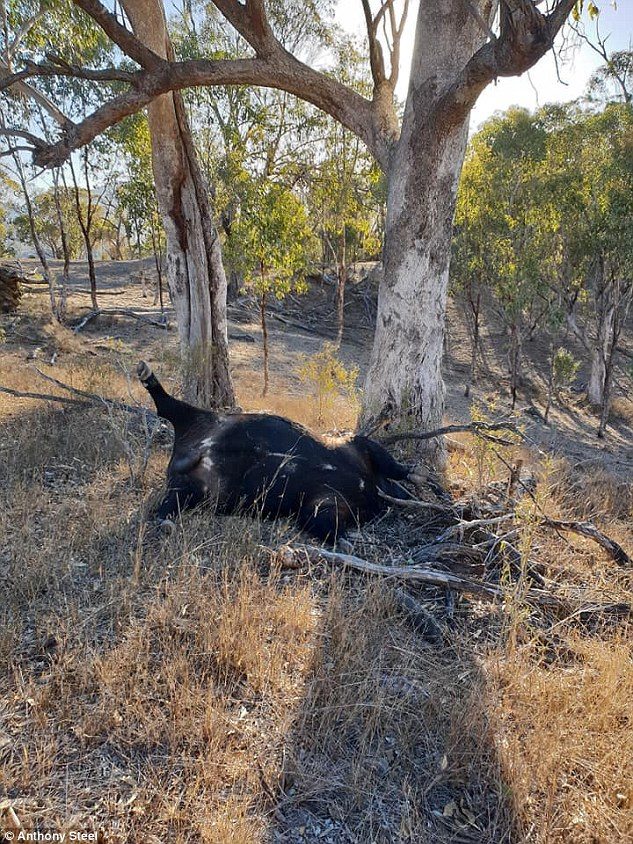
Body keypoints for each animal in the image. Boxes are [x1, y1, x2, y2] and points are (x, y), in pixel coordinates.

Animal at [138, 360, 414, 536]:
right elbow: (395, 466)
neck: (369, 484)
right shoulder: (357, 445)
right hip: (205, 423)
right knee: (168, 407)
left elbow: (322, 524)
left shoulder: (325, 503)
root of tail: (184, 454)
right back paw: (145, 373)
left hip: (191, 486)